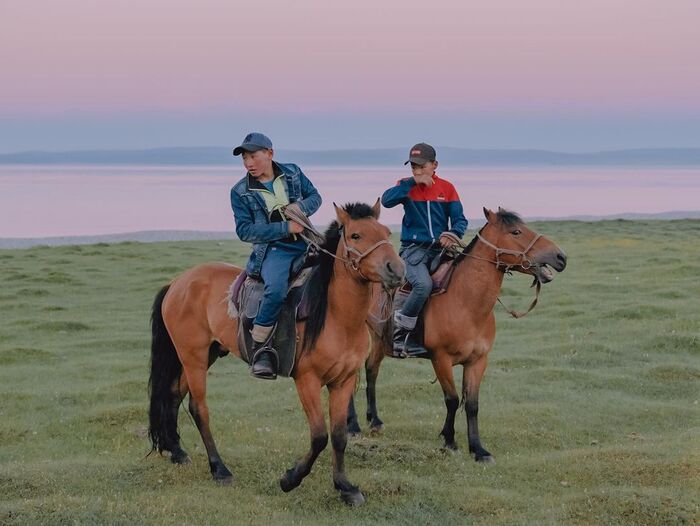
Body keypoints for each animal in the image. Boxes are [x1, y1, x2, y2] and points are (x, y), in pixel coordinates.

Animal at [148, 200, 404, 506]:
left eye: (386, 232)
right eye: (355, 235)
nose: (396, 269)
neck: (337, 316)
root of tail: (177, 283)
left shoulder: (343, 381)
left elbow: (340, 436)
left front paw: (345, 487)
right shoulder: (307, 380)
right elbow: (319, 436)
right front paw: (290, 479)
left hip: (202, 355)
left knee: (174, 394)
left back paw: (177, 452)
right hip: (193, 356)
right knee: (199, 408)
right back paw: (220, 469)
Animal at [348, 208, 568, 464]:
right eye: (516, 231)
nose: (560, 257)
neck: (466, 303)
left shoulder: (478, 361)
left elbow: (471, 405)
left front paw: (478, 450)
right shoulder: (440, 359)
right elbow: (452, 399)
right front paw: (449, 440)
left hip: (379, 342)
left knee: (371, 371)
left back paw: (374, 420)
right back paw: (352, 426)